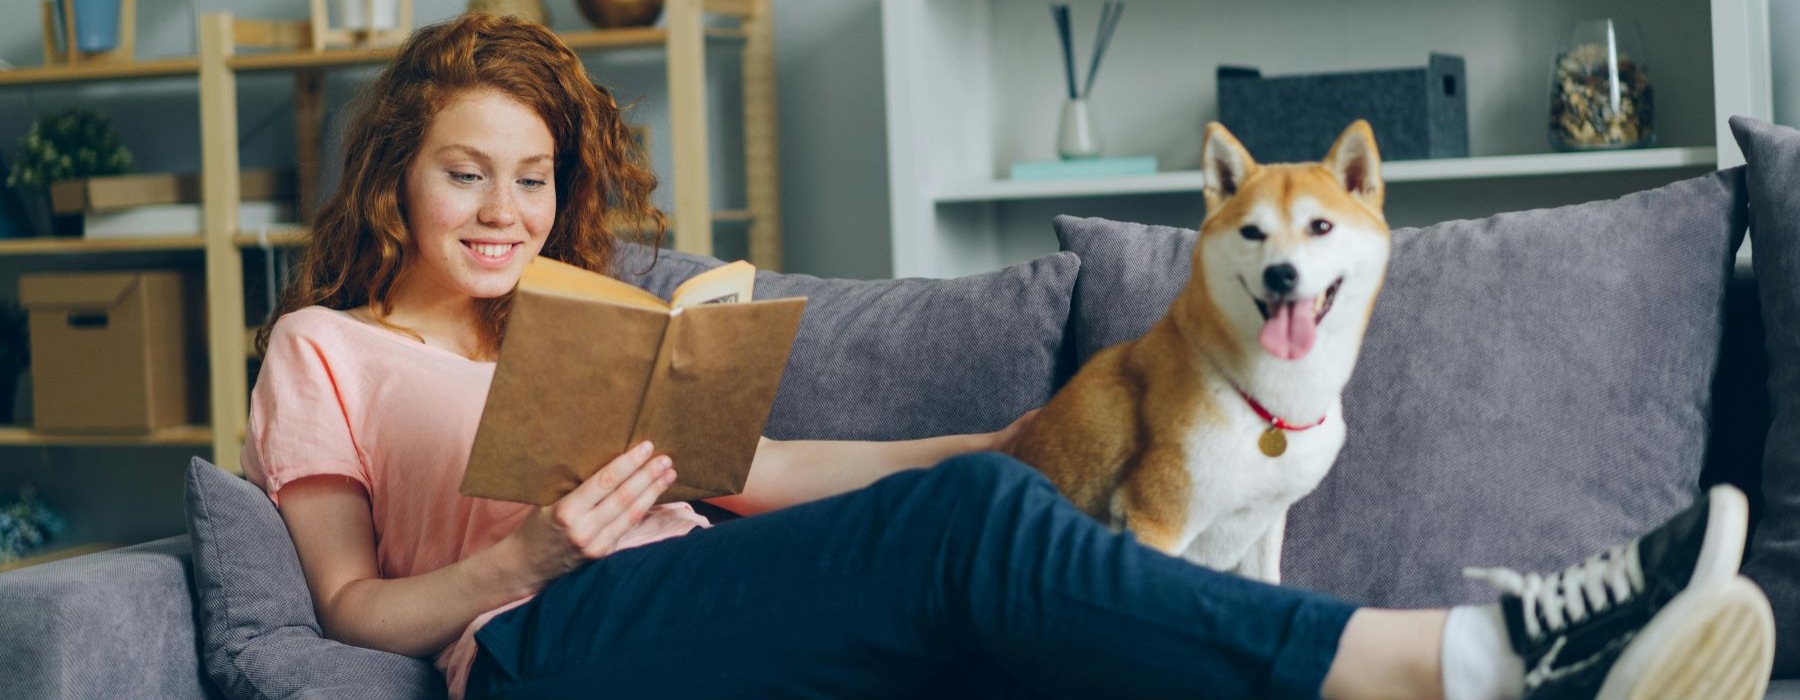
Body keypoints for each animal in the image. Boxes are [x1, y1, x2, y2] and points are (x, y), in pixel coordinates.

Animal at [1015, 121, 1389, 583]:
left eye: (1320, 226)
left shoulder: (1264, 525)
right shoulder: (1157, 520)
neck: (1270, 404)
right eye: (1252, 232)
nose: (1280, 273)